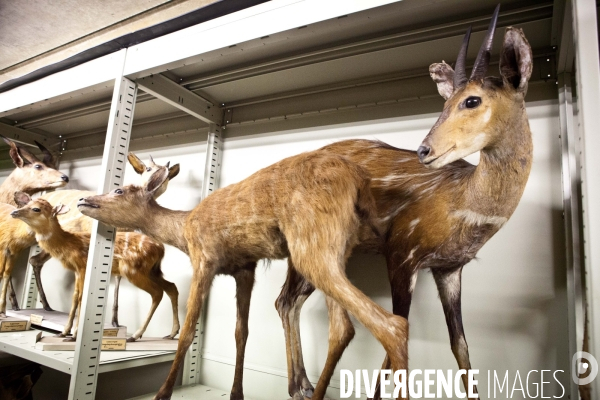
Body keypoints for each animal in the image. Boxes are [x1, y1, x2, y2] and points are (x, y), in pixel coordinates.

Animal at [10, 193, 179, 340]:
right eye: (27, 204)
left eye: (36, 209)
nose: (14, 211)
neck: (69, 244)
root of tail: (160, 248)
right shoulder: (77, 270)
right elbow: (75, 297)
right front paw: (64, 333)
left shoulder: (83, 266)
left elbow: (81, 297)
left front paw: (74, 335)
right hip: (152, 271)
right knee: (171, 287)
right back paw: (171, 334)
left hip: (133, 270)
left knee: (157, 292)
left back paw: (135, 335)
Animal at [77, 149, 410, 400]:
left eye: (119, 189)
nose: (83, 200)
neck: (183, 230)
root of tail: (359, 181)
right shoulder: (245, 269)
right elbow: (242, 332)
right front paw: (237, 393)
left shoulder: (204, 259)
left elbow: (188, 332)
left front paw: (162, 394)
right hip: (335, 250)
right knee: (346, 327)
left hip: (312, 246)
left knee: (387, 325)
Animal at [276, 7, 536, 400]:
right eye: (445, 103)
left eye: (472, 100)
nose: (424, 150)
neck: (462, 207)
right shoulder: (402, 253)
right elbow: (396, 337)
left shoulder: (449, 269)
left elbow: (460, 345)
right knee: (289, 302)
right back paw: (300, 386)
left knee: (290, 301)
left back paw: (301, 384)